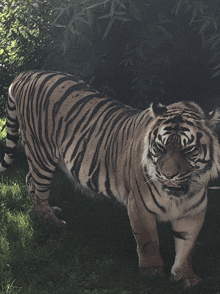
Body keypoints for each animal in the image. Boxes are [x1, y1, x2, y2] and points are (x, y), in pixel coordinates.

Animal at [0, 70, 220, 288]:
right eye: (160, 148)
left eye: (188, 150)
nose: (168, 175)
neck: (179, 196)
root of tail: (28, 73)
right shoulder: (140, 206)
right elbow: (148, 241)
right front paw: (152, 272)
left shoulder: (193, 213)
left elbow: (187, 248)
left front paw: (186, 277)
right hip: (41, 155)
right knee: (38, 187)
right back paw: (52, 221)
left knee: (30, 180)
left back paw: (47, 213)